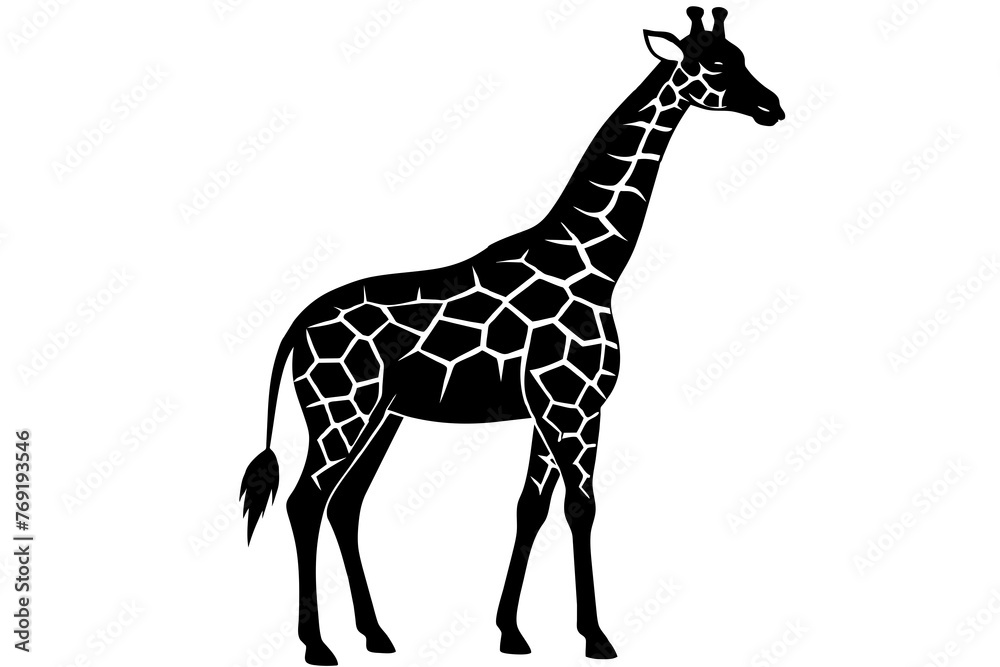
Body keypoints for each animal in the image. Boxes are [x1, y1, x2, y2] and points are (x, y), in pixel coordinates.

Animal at [240, 7, 783, 664]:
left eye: (743, 55)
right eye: (717, 64)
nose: (774, 107)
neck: (596, 267)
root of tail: (297, 325)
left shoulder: (552, 412)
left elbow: (531, 508)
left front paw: (511, 631)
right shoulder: (572, 408)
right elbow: (580, 507)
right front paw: (596, 636)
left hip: (382, 416)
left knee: (344, 504)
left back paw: (376, 633)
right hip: (339, 410)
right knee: (306, 502)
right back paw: (318, 644)